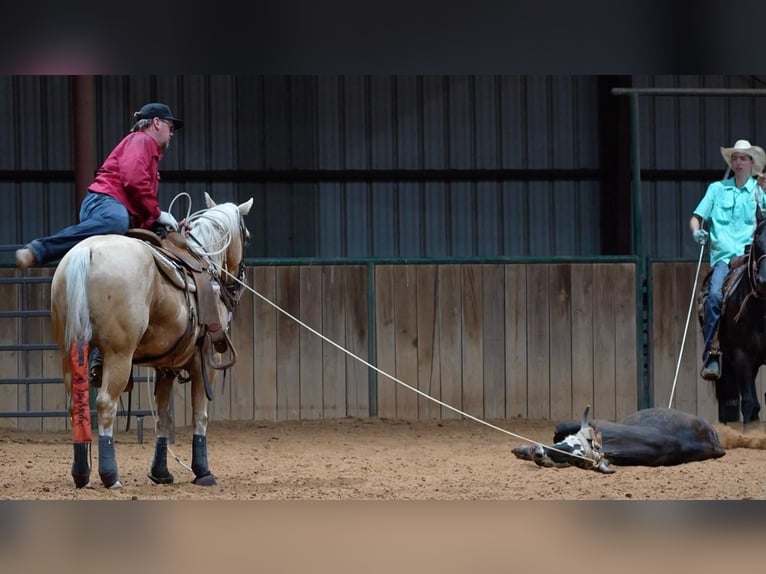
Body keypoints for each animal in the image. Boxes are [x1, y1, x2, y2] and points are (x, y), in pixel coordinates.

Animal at [51, 194, 255, 490]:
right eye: (247, 237)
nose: (238, 283)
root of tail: (85, 252)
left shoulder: (166, 367)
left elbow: (163, 418)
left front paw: (161, 472)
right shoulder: (204, 364)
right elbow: (200, 416)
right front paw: (203, 471)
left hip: (69, 352)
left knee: (75, 405)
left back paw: (81, 474)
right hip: (119, 356)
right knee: (105, 404)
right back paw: (110, 475)